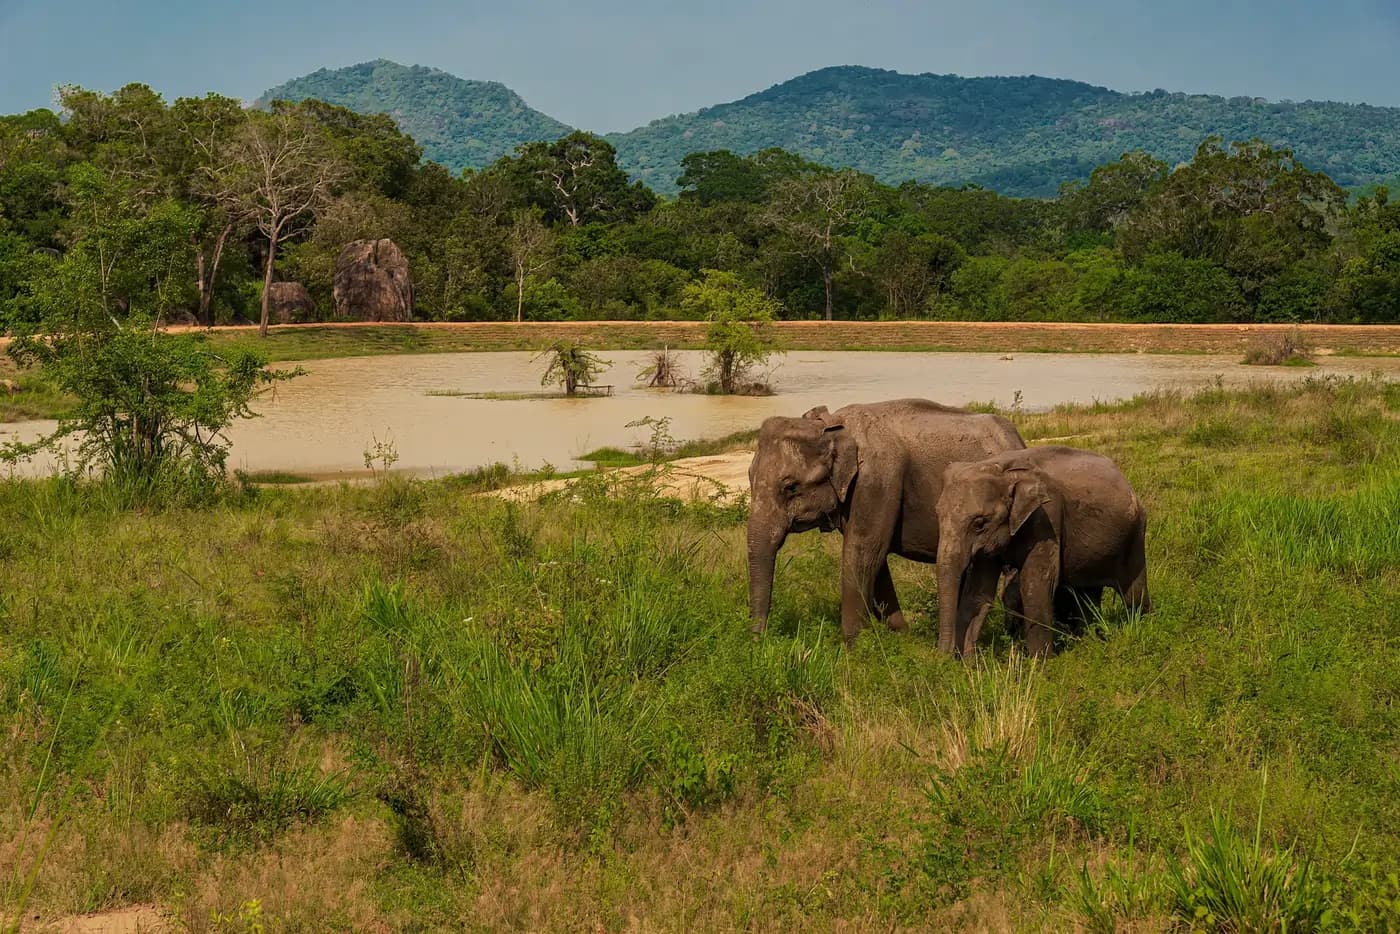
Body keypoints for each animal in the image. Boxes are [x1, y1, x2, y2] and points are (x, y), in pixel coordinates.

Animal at [746, 399, 1026, 642]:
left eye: (790, 487)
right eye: (749, 477)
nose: (759, 640)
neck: (832, 425)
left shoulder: (876, 480)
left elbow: (862, 554)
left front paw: (853, 647)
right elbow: (875, 560)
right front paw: (901, 635)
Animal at [935, 445, 1151, 659]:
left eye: (979, 524)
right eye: (938, 515)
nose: (944, 657)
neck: (1004, 470)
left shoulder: (1047, 518)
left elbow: (1036, 584)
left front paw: (1040, 663)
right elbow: (979, 593)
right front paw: (967, 664)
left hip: (1135, 535)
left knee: (1134, 594)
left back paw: (1141, 628)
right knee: (1087, 596)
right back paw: (1089, 639)